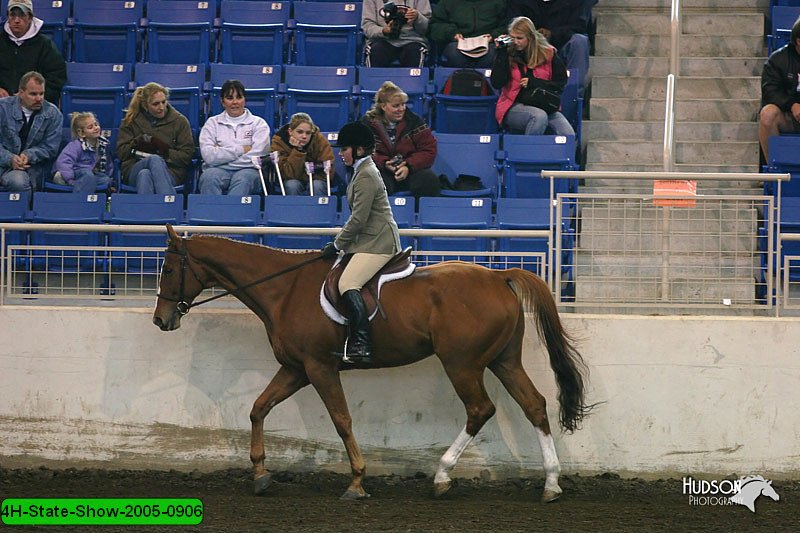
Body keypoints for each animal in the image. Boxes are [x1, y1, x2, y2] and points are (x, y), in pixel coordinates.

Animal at [153, 224, 592, 502]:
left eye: (170, 269)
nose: (161, 320)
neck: (285, 290)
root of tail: (499, 276)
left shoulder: (319, 368)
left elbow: (342, 420)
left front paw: (357, 483)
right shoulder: (296, 368)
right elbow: (259, 408)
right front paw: (261, 476)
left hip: (462, 363)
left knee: (480, 409)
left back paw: (442, 476)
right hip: (504, 360)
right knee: (534, 405)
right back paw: (551, 485)